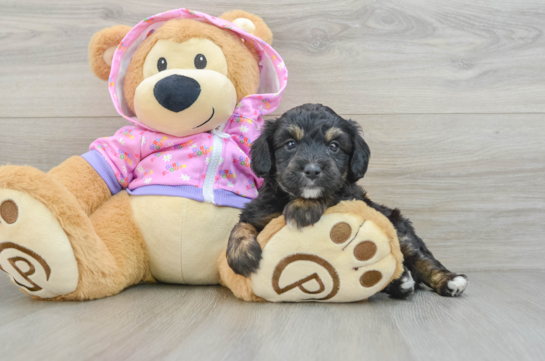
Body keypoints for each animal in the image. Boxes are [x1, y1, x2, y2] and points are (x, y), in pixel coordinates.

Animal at [225, 102, 468, 296]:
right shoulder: (259, 211)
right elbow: (240, 226)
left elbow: (332, 192)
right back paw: (400, 282)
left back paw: (447, 280)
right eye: (290, 144)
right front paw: (241, 255)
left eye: (334, 146)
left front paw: (303, 208)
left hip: (398, 226)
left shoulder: (351, 196)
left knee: (420, 258)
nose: (312, 170)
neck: (291, 196)